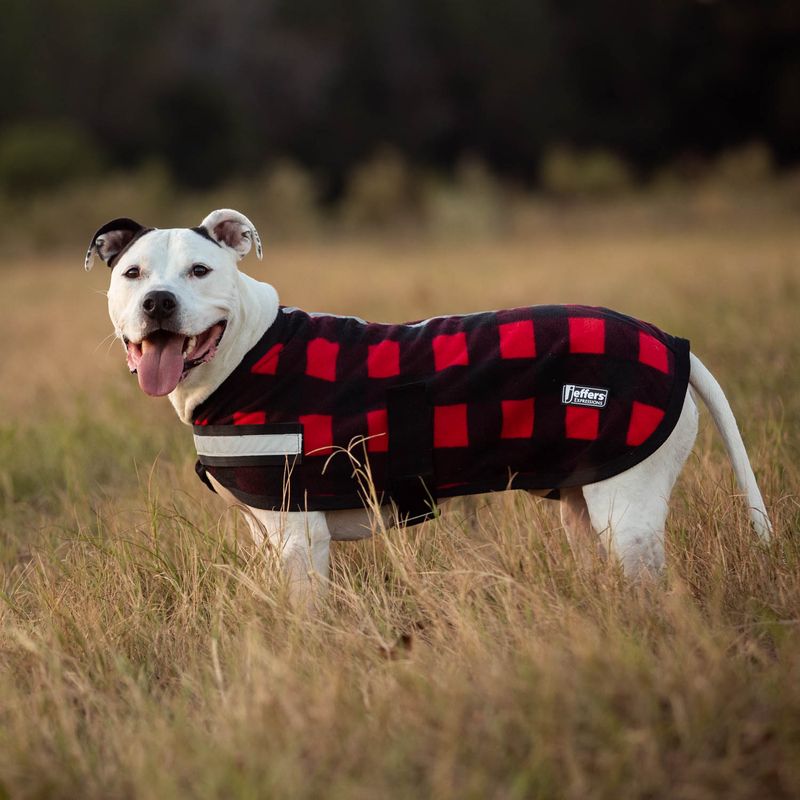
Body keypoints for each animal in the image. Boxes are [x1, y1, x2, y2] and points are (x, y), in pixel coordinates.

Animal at [84, 209, 772, 596]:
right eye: (132, 274)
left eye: (200, 271)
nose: (158, 303)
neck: (246, 349)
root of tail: (670, 342)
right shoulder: (266, 532)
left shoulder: (301, 540)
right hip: (584, 509)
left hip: (627, 516)